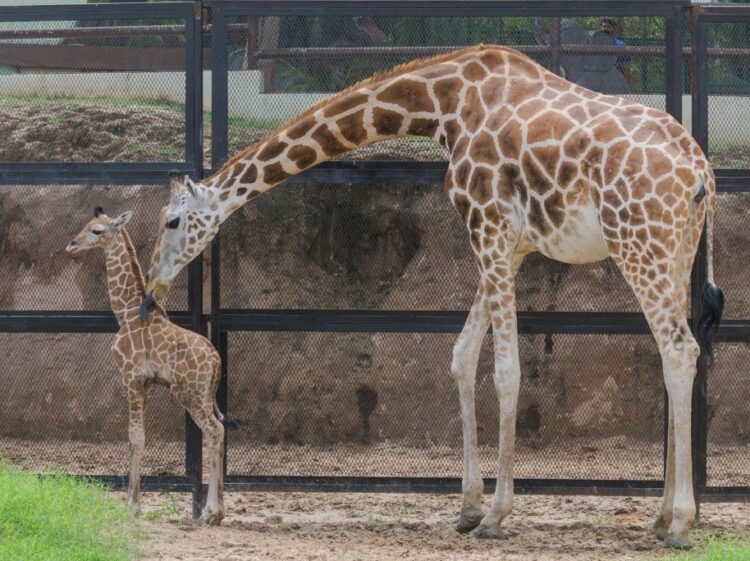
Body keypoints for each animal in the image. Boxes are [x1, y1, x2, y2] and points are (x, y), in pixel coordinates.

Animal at [66, 207, 238, 525]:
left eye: (97, 230)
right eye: (87, 224)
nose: (72, 244)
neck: (125, 312)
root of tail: (216, 359)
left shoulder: (130, 377)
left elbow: (135, 437)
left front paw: (132, 505)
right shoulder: (145, 384)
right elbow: (139, 436)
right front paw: (133, 502)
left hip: (189, 393)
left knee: (214, 431)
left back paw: (210, 512)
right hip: (204, 395)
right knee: (219, 430)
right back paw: (216, 512)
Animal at [141, 45, 724, 547]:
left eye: (172, 221)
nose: (152, 291)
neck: (445, 104)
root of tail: (701, 171)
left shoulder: (486, 225)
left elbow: (506, 370)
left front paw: (496, 514)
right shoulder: (509, 244)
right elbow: (462, 356)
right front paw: (467, 508)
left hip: (637, 242)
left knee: (680, 349)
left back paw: (680, 523)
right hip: (676, 249)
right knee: (674, 355)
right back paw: (660, 517)